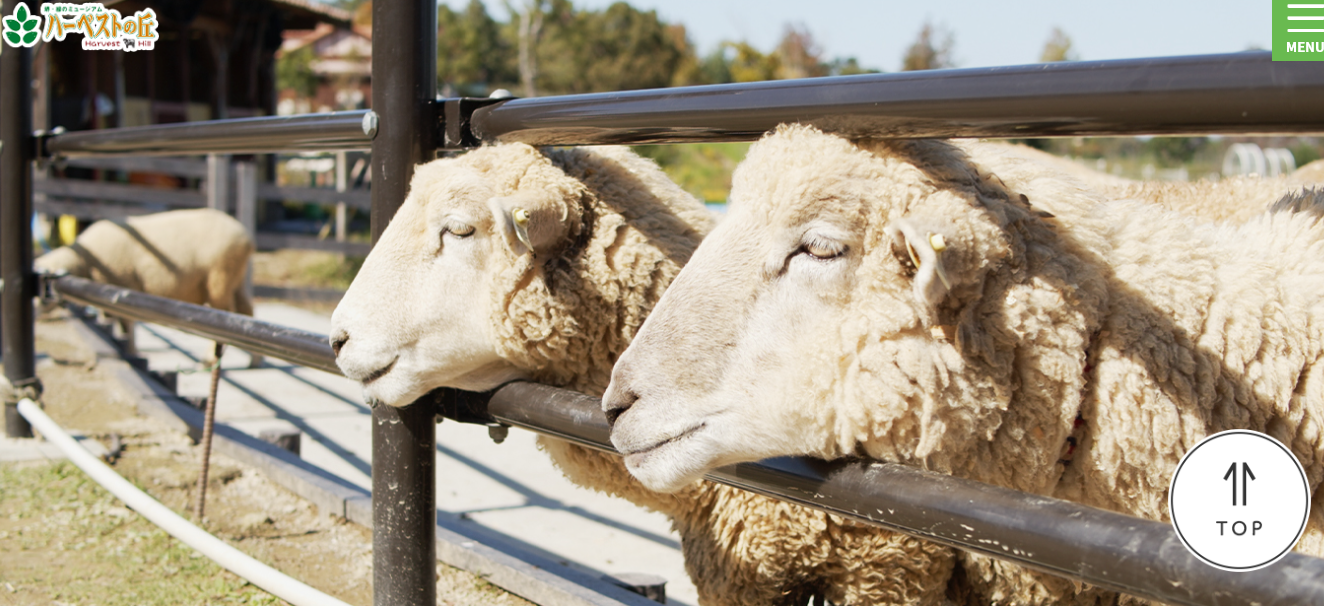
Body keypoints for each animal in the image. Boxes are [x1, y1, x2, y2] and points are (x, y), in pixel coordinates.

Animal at [36, 207, 262, 365]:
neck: (86, 260)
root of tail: (246, 236)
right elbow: (115, 319)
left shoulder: (124, 282)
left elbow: (127, 321)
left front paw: (131, 350)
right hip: (236, 279)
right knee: (246, 312)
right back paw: (254, 360)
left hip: (219, 277)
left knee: (225, 314)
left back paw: (209, 359)